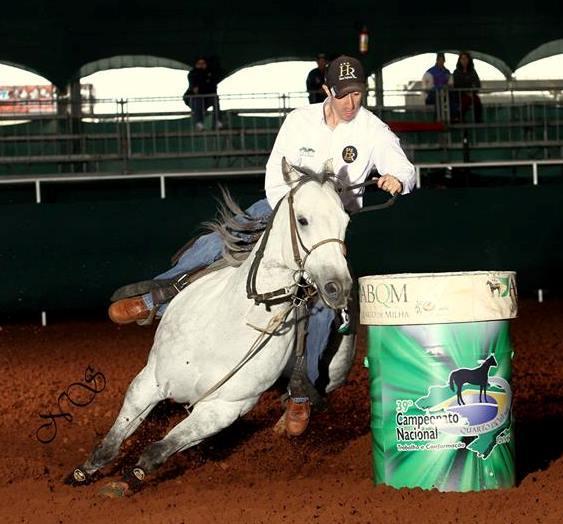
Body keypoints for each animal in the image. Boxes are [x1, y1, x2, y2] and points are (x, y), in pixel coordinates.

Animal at [68, 159, 354, 492]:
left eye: (345, 222)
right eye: (303, 219)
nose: (337, 287)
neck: (234, 322)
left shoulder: (223, 409)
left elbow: (159, 449)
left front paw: (128, 480)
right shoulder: (151, 379)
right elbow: (115, 438)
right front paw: (82, 472)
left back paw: (291, 421)